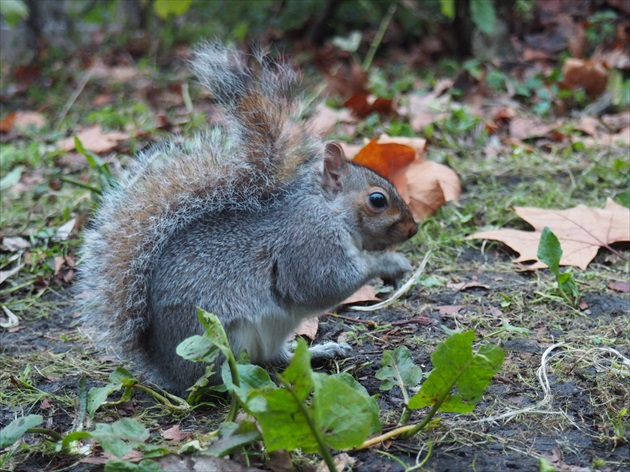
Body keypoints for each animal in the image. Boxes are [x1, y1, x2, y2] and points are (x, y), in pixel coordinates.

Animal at [78, 43, 420, 394]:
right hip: (220, 339)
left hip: (275, 329)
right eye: (377, 200)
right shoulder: (309, 242)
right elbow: (324, 284)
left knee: (276, 357)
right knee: (224, 377)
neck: (329, 210)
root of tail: (165, 369)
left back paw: (319, 351)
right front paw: (389, 263)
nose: (413, 229)